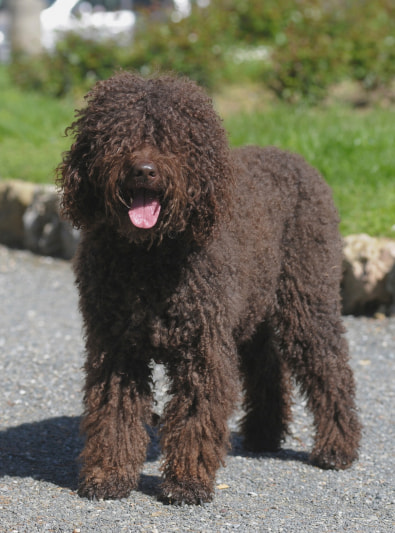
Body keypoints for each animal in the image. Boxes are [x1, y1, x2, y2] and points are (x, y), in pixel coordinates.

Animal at [58, 70, 362, 502]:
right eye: (117, 135)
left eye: (175, 137)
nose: (144, 170)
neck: (150, 257)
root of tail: (297, 159)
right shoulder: (115, 347)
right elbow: (114, 412)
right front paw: (108, 475)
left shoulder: (202, 346)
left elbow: (194, 415)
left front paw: (186, 483)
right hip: (253, 310)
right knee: (268, 369)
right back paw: (264, 435)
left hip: (306, 300)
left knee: (331, 369)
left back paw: (337, 448)